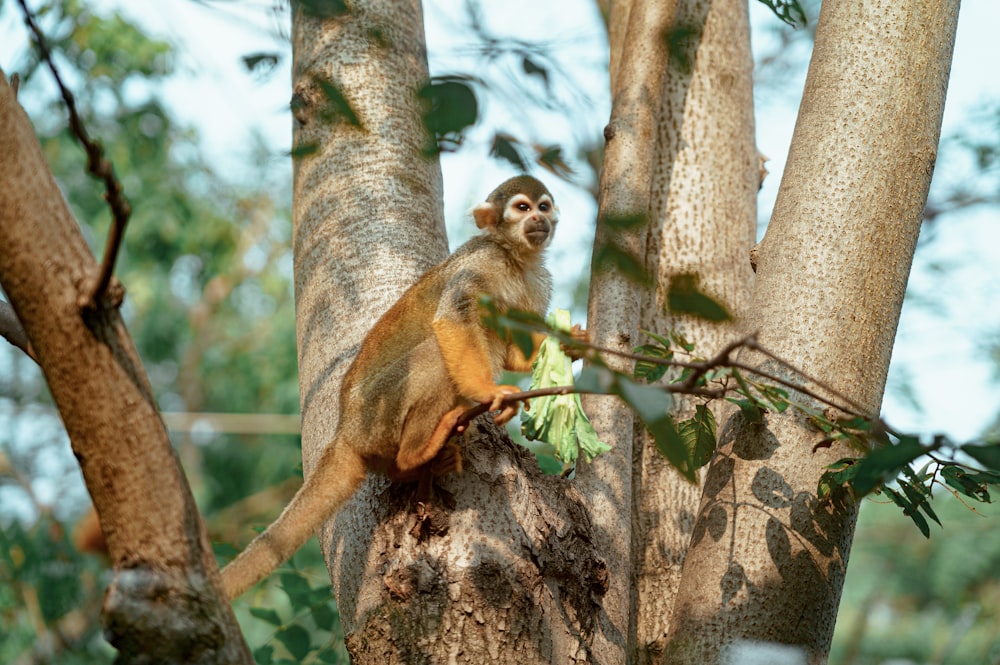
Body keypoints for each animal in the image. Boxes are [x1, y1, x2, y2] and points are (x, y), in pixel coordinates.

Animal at [222, 174, 560, 600]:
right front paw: (490, 393)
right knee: (435, 352)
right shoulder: (481, 262)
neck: (516, 260)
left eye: (543, 206)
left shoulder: (539, 283)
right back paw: (418, 453)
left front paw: (569, 345)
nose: (539, 221)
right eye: (521, 208)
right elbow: (452, 319)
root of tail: (345, 430)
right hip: (377, 410)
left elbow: (517, 349)